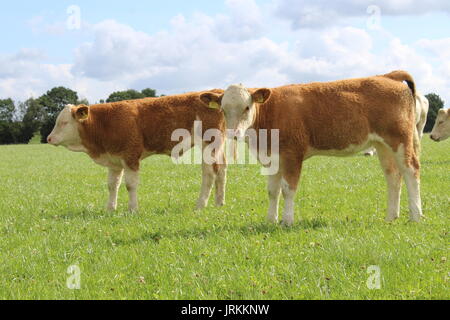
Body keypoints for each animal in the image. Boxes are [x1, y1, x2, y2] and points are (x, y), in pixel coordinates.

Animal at [47, 92, 227, 212]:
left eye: (64, 122)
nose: (49, 138)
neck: (105, 123)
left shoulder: (130, 157)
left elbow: (130, 185)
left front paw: (132, 209)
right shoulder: (114, 161)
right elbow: (112, 185)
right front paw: (110, 209)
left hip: (208, 145)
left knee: (209, 173)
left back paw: (200, 205)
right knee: (222, 170)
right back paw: (219, 203)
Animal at [202, 70, 424, 225]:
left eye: (247, 107)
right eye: (223, 109)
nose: (233, 134)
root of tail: (387, 76)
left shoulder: (292, 155)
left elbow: (288, 189)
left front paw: (287, 221)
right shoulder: (272, 158)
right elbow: (273, 191)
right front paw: (270, 220)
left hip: (399, 139)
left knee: (411, 170)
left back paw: (415, 216)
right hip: (383, 145)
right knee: (393, 176)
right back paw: (391, 217)